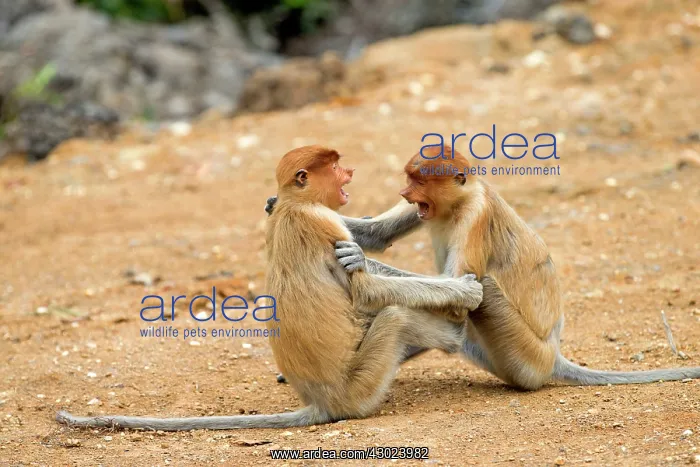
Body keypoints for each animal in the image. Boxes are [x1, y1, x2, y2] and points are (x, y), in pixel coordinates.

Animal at [55, 145, 483, 431]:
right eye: (334, 166)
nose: (349, 172)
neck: (296, 205)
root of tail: (321, 402)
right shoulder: (324, 223)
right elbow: (366, 288)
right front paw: (465, 291)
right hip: (362, 385)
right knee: (395, 317)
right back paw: (453, 332)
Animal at [268, 146, 700, 390]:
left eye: (420, 181)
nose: (405, 193)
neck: (459, 202)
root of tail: (553, 355)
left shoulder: (476, 215)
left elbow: (461, 284)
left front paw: (356, 257)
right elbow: (378, 233)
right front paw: (274, 203)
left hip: (525, 356)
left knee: (487, 290)